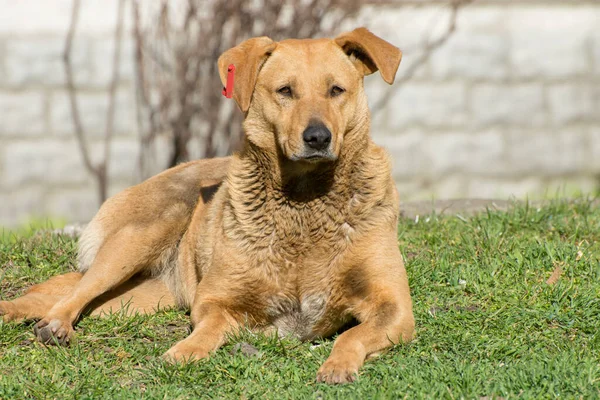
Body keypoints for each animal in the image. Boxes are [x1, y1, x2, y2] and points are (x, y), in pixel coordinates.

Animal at [0, 28, 412, 384]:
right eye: (285, 91)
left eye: (336, 90)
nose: (317, 137)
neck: (305, 203)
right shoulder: (214, 299)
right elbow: (210, 327)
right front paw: (182, 352)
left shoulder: (396, 308)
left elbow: (351, 335)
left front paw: (338, 366)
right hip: (144, 235)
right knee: (73, 294)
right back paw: (55, 324)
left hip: (137, 296)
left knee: (61, 297)